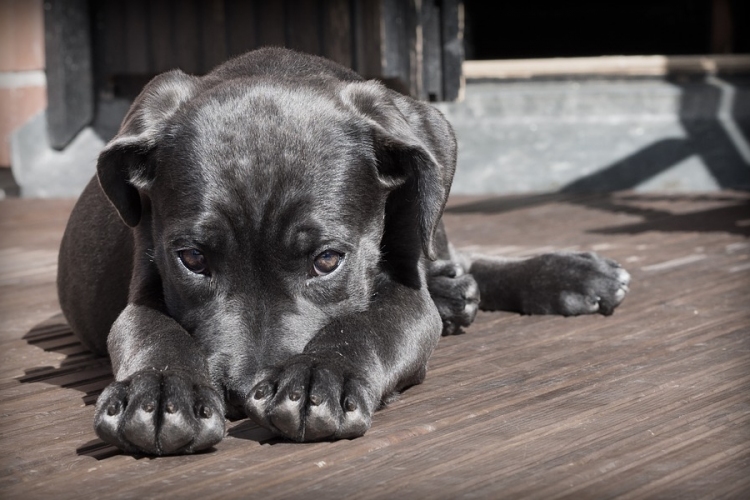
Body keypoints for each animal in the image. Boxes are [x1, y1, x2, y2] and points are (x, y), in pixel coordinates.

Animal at [58, 48, 632, 456]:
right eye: (193, 260)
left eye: (328, 260)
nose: (242, 394)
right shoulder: (144, 281)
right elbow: (152, 330)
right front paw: (159, 391)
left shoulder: (406, 293)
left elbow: (368, 323)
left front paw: (320, 375)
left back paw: (566, 275)